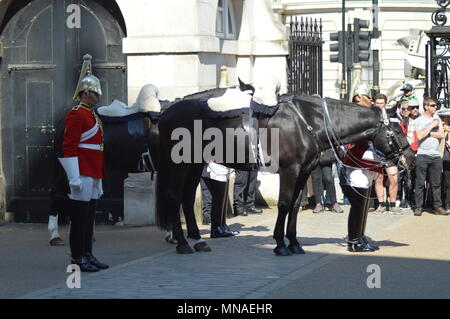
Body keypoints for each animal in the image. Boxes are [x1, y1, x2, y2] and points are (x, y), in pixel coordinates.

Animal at [157, 82, 414, 255]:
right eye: (396, 131)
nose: (410, 158)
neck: (308, 122)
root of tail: (168, 110)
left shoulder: (304, 171)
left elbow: (294, 205)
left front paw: (294, 242)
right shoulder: (289, 171)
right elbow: (284, 203)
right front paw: (280, 244)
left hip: (193, 165)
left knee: (186, 198)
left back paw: (196, 239)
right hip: (178, 166)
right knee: (174, 196)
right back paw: (182, 242)